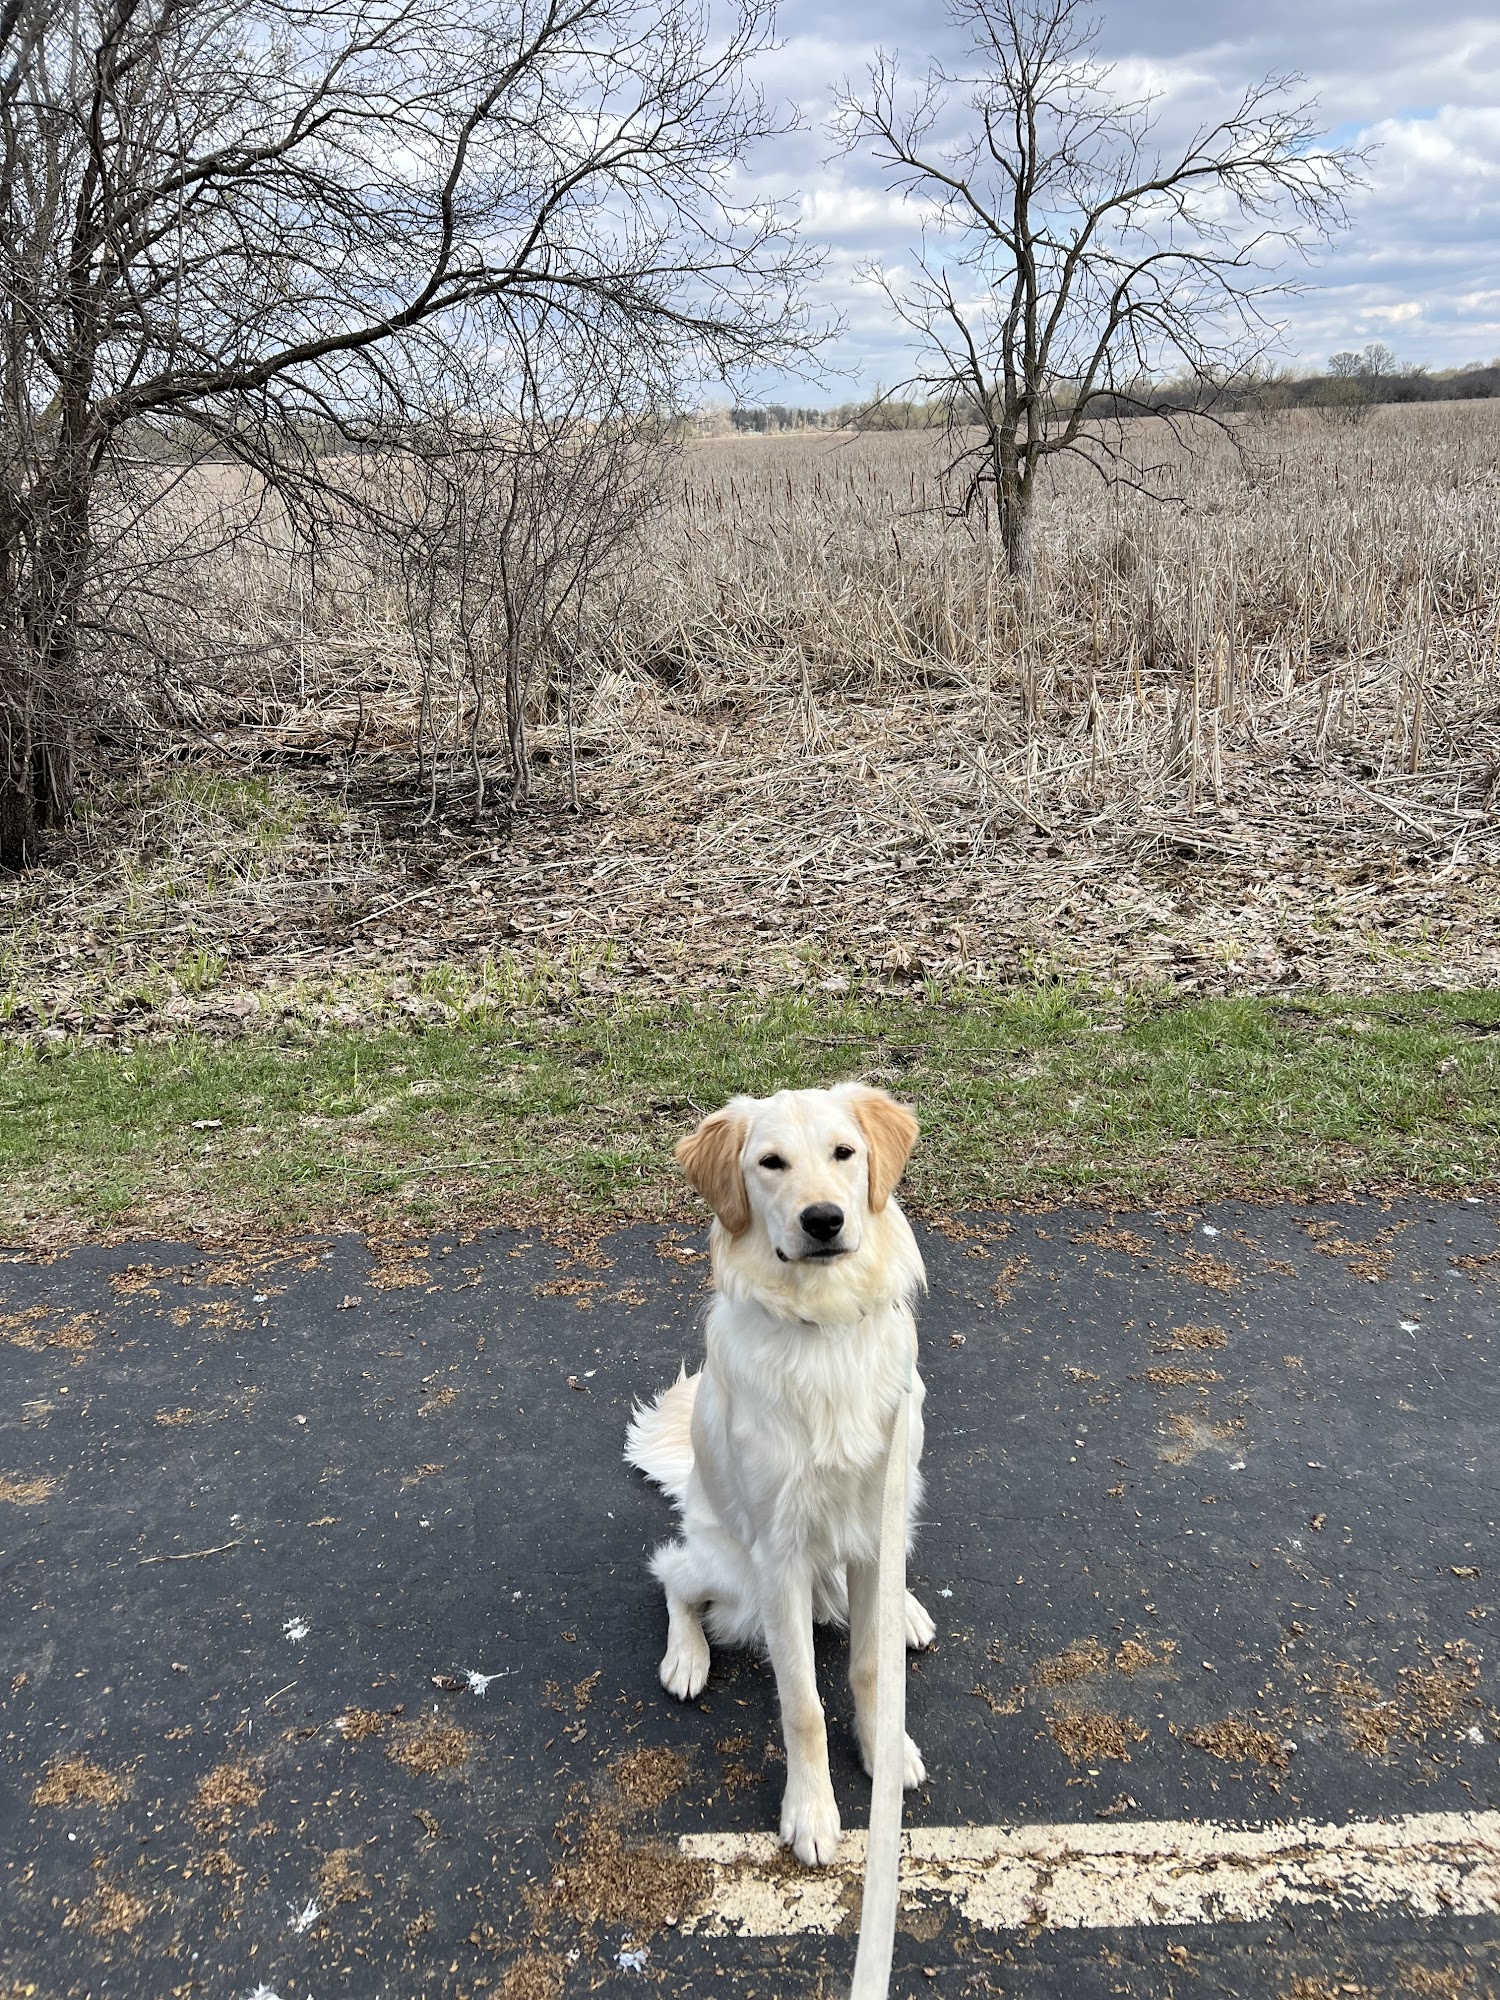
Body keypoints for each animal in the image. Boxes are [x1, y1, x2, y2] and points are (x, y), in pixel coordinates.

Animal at [620, 1088, 928, 1864]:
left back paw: (907, 1610)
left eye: (844, 1153)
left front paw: (883, 1750)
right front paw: (812, 1812)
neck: (825, 1326)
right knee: (673, 1576)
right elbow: (803, 1706)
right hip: (730, 1570)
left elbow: (869, 1667)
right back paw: (686, 1657)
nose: (823, 1219)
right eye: (770, 1163)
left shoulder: (873, 1527)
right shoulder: (779, 1558)